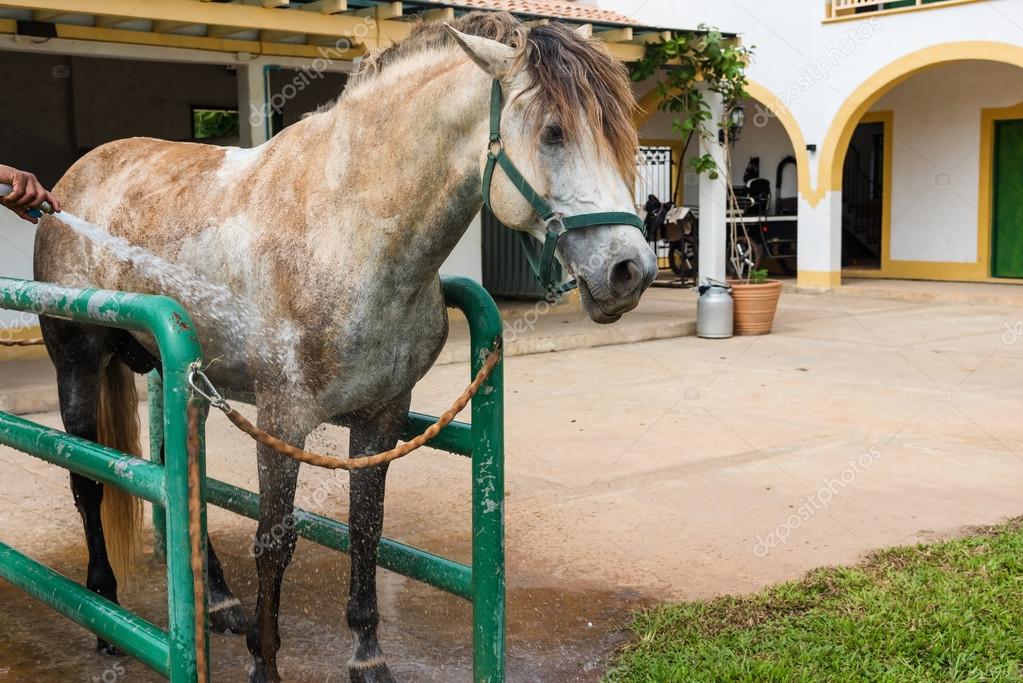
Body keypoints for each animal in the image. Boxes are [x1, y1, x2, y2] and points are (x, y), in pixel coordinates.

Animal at [33, 11, 657, 681]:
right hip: (77, 367)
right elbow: (275, 538)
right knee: (86, 480)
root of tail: (69, 186)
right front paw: (264, 663)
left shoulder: (380, 416)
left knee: (178, 478)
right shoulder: (283, 419)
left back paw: (219, 603)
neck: (348, 232)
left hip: (181, 382)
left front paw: (366, 655)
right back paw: (104, 608)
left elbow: (366, 528)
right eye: (552, 132)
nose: (631, 270)